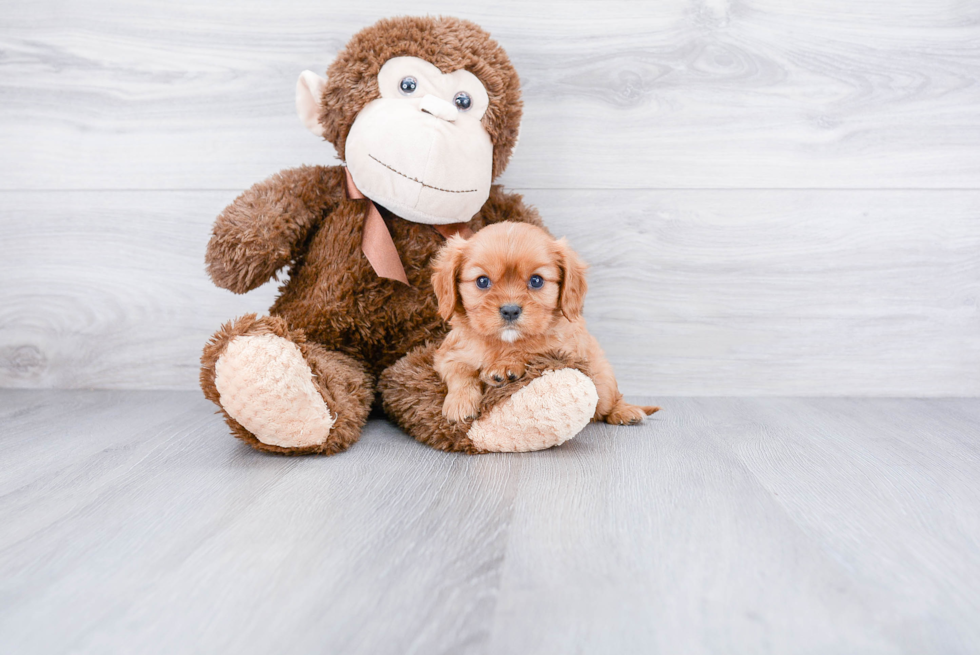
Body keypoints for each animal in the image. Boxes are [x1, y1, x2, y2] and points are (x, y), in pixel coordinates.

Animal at [434, 220, 660, 426]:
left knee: (608, 403)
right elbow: (460, 370)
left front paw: (506, 365)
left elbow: (532, 350)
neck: (503, 343)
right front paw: (460, 402)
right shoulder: (449, 353)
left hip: (602, 381)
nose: (510, 310)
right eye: (482, 281)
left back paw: (625, 412)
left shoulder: (563, 350)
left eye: (536, 281)